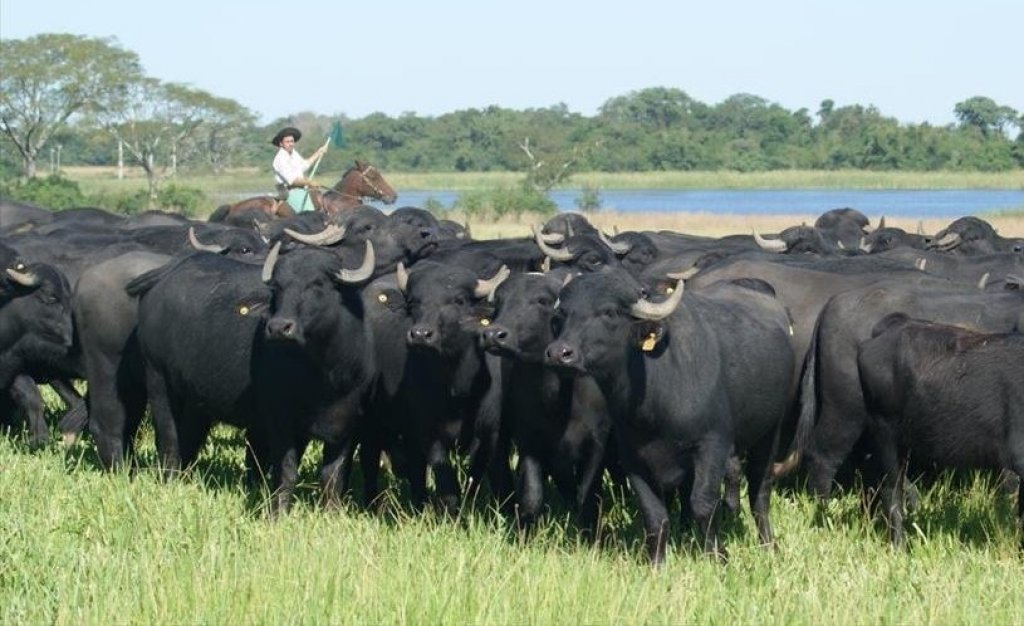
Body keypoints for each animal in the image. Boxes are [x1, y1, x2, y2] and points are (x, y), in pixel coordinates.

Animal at [544, 268, 790, 561]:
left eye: (609, 312)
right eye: (563, 315)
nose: (560, 353)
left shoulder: (712, 444)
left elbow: (703, 503)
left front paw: (717, 556)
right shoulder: (633, 457)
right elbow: (654, 515)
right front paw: (656, 562)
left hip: (771, 432)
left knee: (759, 493)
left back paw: (769, 545)